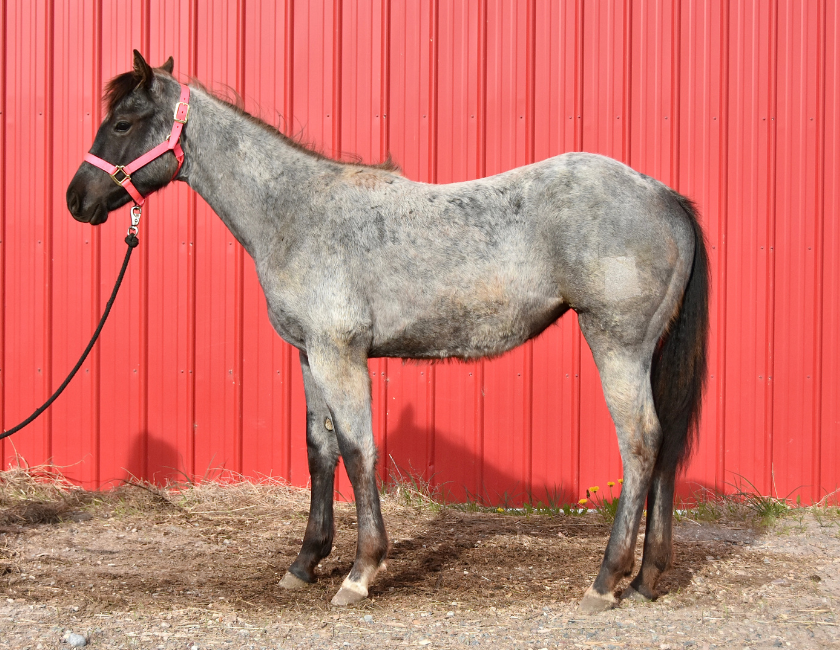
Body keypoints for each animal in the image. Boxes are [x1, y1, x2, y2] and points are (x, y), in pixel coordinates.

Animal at [66, 51, 709, 612]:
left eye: (122, 122)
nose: (77, 199)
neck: (295, 211)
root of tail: (663, 195)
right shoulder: (310, 356)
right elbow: (320, 452)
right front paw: (304, 564)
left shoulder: (340, 355)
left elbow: (357, 451)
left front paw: (360, 572)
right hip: (649, 353)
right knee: (665, 446)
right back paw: (647, 579)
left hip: (617, 344)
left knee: (640, 443)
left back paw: (605, 581)